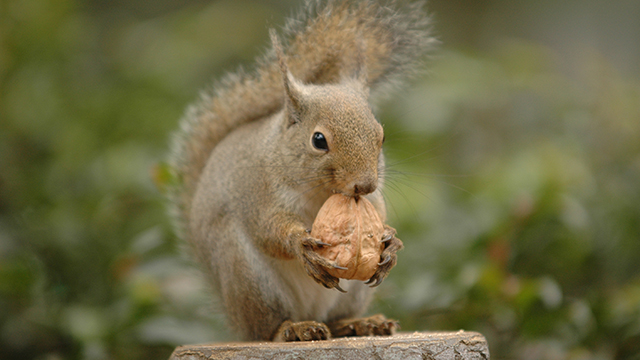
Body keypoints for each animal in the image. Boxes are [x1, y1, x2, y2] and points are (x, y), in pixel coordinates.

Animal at [165, 0, 436, 342]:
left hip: (351, 293)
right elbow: (269, 230)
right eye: (318, 140)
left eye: (381, 136)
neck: (323, 195)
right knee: (267, 328)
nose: (365, 185)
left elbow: (380, 217)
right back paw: (293, 329)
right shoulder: (259, 193)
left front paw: (391, 244)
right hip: (248, 278)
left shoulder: (372, 204)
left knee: (336, 319)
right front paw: (300, 245)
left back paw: (359, 323)